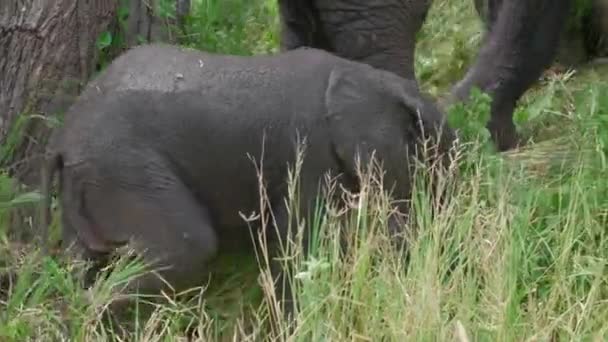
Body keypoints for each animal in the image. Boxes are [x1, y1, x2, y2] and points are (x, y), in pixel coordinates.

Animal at [40, 44, 454, 320]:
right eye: (425, 144)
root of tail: (61, 141)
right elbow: (298, 247)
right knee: (187, 247)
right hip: (124, 167)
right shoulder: (309, 155)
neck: (366, 77)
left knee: (83, 263)